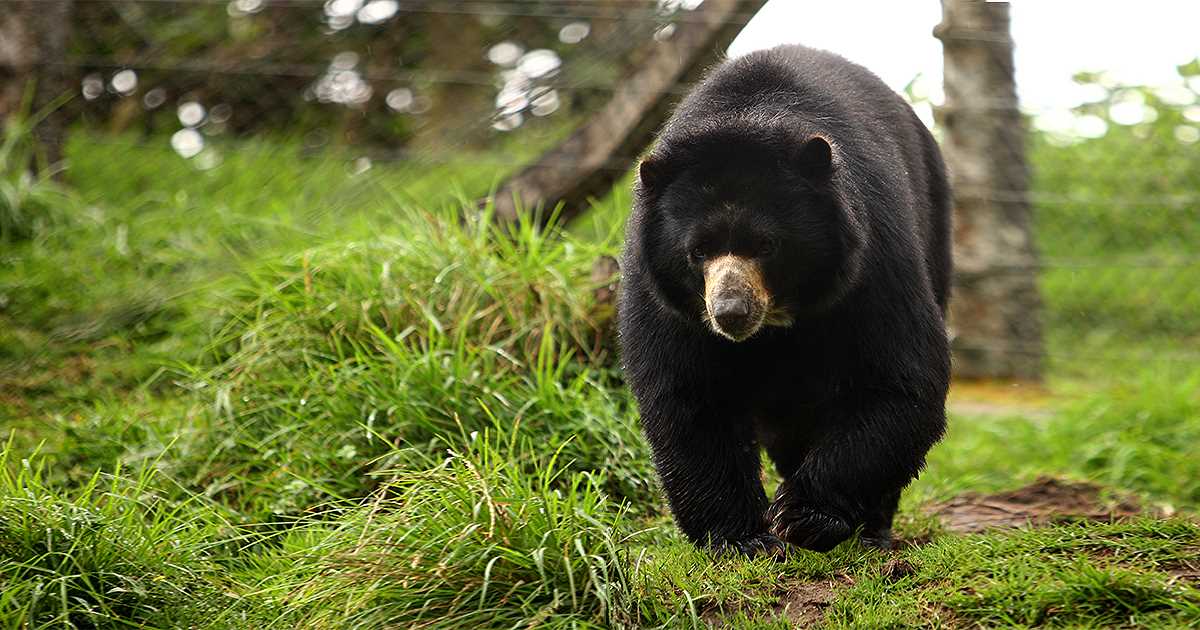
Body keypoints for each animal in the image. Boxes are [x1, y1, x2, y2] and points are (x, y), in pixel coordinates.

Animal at [617, 44, 952, 556]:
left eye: (766, 245)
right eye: (698, 252)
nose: (730, 313)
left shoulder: (874, 259)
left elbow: (900, 379)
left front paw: (801, 517)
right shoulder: (663, 295)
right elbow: (689, 394)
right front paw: (741, 537)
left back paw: (874, 531)